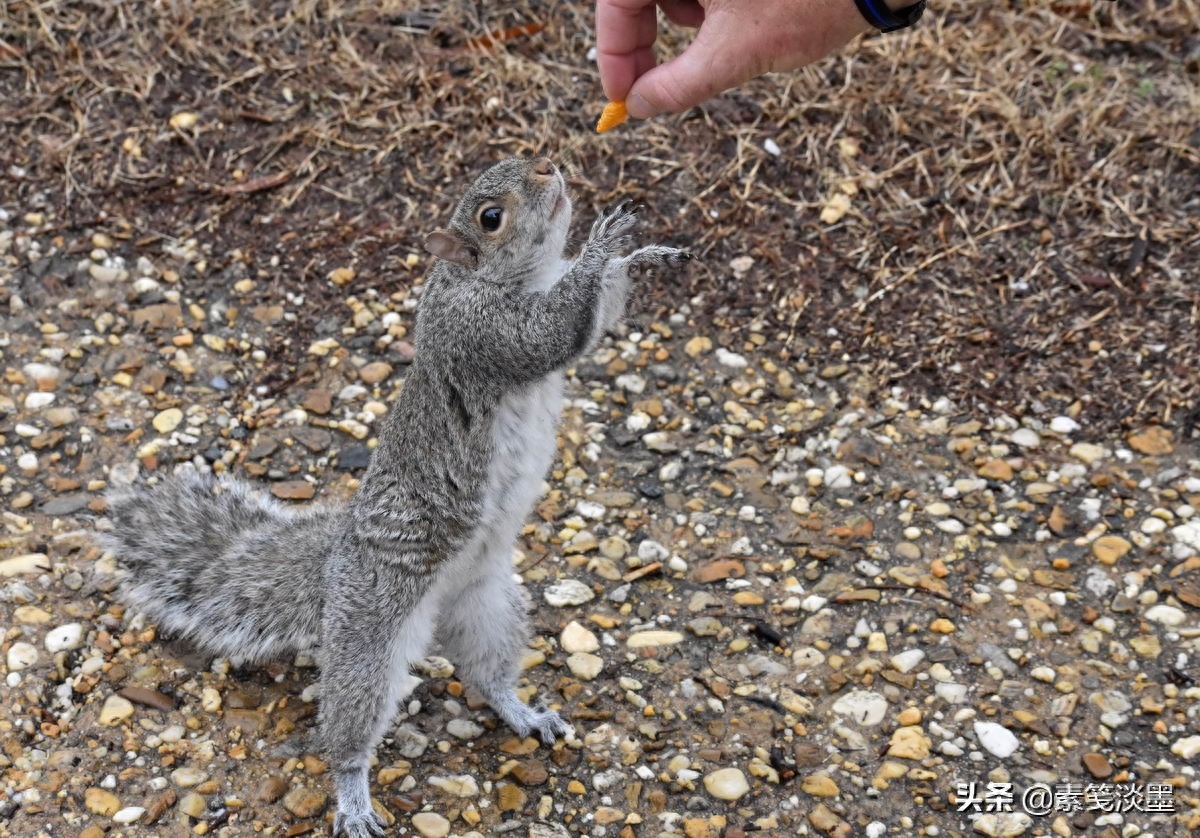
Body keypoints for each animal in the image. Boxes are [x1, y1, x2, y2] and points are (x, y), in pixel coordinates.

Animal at [100, 158, 696, 835]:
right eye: (491, 217)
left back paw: (523, 712)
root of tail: (336, 562)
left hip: (489, 604)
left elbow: (594, 322)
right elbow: (548, 333)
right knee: (350, 728)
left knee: (489, 677)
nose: (550, 168)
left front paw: (642, 257)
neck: (484, 275)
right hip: (371, 634)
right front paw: (602, 244)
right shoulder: (479, 331)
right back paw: (354, 798)